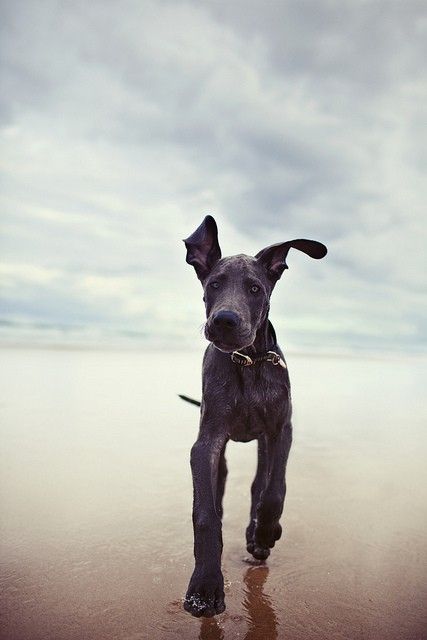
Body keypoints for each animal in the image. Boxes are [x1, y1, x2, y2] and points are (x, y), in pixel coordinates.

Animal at [181, 218, 328, 616]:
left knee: (260, 484)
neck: (247, 362)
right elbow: (205, 515)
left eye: (255, 288)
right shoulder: (206, 443)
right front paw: (205, 587)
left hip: (264, 442)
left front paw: (264, 532)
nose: (224, 321)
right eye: (213, 284)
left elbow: (274, 490)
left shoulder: (281, 431)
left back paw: (257, 534)